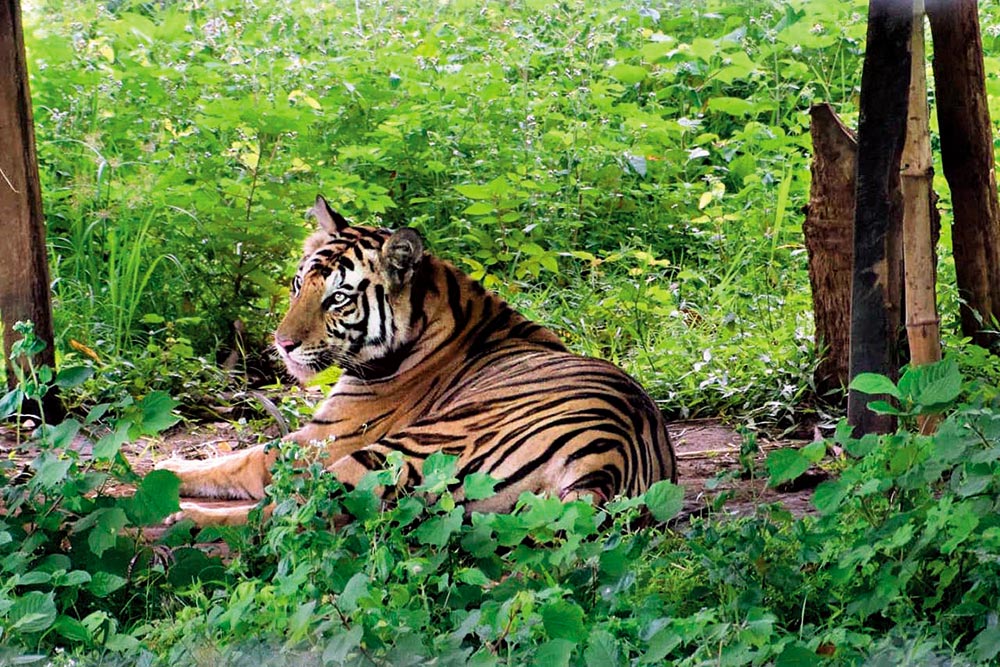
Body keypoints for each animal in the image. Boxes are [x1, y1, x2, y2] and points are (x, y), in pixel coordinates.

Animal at [157, 195, 676, 526]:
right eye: (298, 285)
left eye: (338, 298)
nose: (281, 344)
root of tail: (606, 456)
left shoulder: (318, 442)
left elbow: (238, 461)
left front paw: (163, 469)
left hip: (397, 453)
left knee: (284, 520)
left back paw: (185, 517)